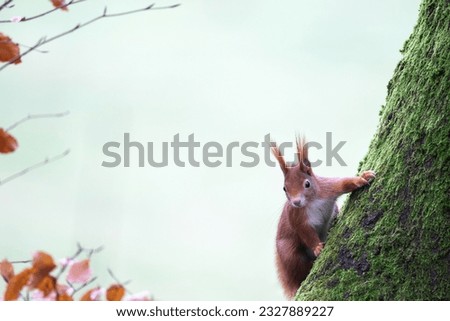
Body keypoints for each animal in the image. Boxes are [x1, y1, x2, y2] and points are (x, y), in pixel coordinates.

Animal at [272, 136, 374, 296]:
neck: (312, 201)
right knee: (299, 267)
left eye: (307, 184)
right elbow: (305, 232)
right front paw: (317, 248)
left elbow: (344, 183)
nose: (296, 202)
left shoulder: (328, 188)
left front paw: (362, 178)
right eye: (284, 188)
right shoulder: (296, 216)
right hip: (289, 252)